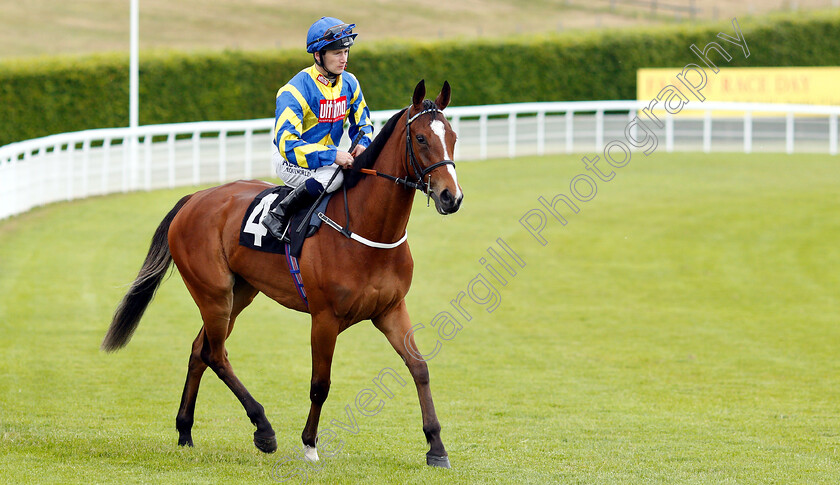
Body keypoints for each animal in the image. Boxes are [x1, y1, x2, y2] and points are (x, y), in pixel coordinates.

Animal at [103, 80, 466, 468]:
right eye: (422, 138)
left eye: (453, 136)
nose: (451, 197)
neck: (365, 229)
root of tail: (194, 199)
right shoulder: (324, 317)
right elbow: (320, 384)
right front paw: (309, 444)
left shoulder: (390, 309)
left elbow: (419, 367)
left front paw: (436, 447)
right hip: (213, 292)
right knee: (215, 354)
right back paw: (263, 429)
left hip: (239, 294)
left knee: (200, 349)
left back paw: (185, 430)